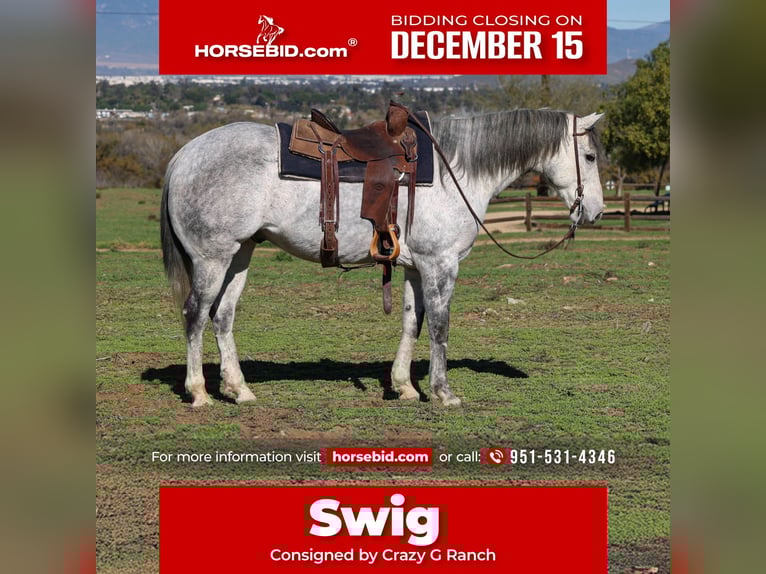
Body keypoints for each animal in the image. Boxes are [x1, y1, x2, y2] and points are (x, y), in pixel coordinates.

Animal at [160, 107, 605, 408]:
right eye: (590, 157)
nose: (596, 212)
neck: (455, 171)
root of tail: (183, 156)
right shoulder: (441, 265)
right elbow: (440, 327)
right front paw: (443, 392)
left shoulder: (415, 268)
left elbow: (412, 322)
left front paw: (404, 386)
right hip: (212, 258)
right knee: (195, 316)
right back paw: (199, 392)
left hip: (240, 255)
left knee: (222, 317)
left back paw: (239, 389)